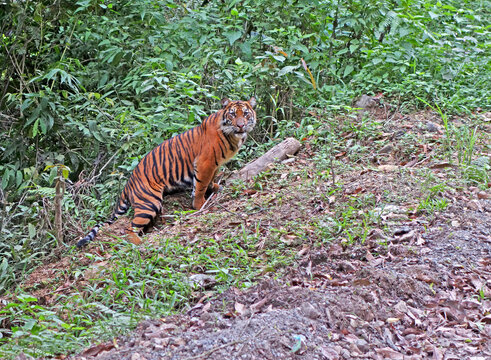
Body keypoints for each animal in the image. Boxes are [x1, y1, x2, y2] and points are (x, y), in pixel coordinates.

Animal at [77, 97, 258, 249]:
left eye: (245, 114)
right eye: (233, 114)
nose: (241, 125)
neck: (232, 135)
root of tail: (128, 184)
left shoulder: (215, 165)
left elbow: (207, 181)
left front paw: (214, 187)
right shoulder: (204, 162)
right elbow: (200, 185)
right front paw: (200, 205)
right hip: (149, 203)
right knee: (129, 229)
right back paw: (139, 243)